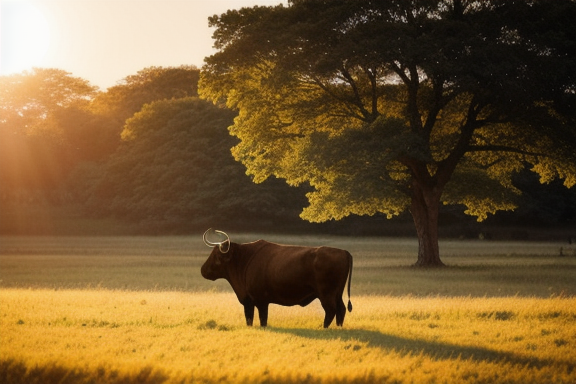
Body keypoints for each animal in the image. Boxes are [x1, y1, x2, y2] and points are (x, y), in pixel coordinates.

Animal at [200, 230, 354, 328]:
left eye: (216, 256)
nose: (203, 270)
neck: (243, 258)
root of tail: (344, 252)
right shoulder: (254, 302)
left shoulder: (258, 302)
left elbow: (259, 319)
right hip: (337, 294)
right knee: (341, 309)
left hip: (326, 295)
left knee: (331, 310)